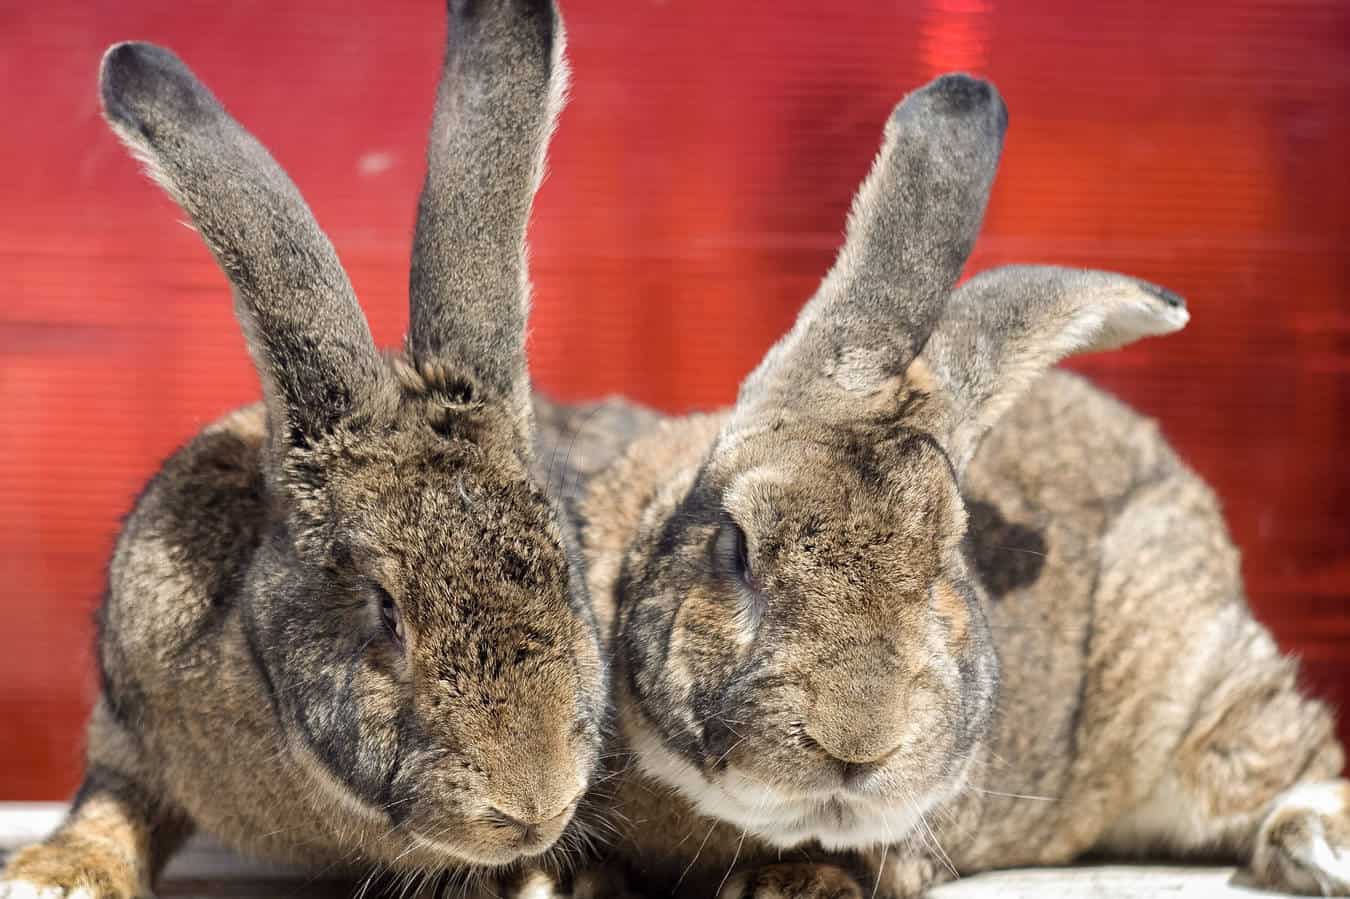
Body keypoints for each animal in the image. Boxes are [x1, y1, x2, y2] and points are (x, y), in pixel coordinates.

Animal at [0, 1, 607, 896]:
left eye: (566, 573)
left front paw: (533, 878)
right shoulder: (126, 725)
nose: (534, 808)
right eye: (385, 608)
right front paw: (58, 874)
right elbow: (114, 798)